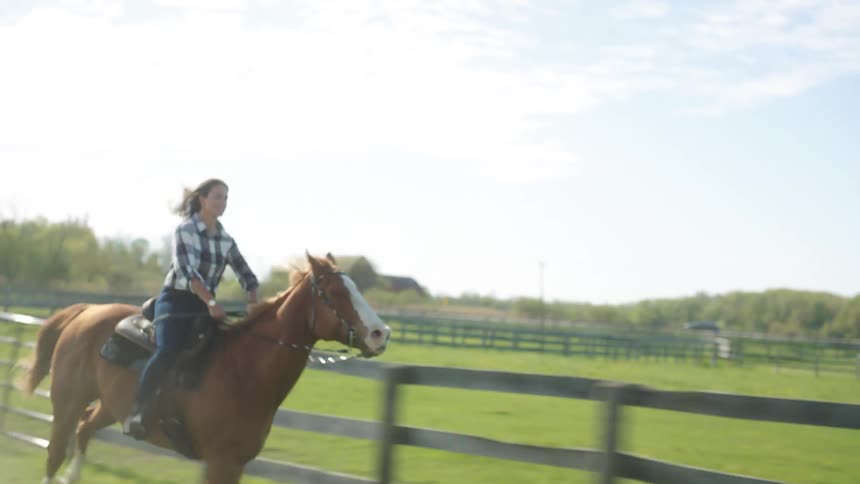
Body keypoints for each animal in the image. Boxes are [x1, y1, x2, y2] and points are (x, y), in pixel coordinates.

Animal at [17, 252, 392, 484]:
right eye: (334, 291)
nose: (381, 333)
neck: (244, 369)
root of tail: (84, 311)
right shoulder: (221, 461)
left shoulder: (234, 464)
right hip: (66, 403)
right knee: (56, 451)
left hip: (110, 406)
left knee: (84, 428)